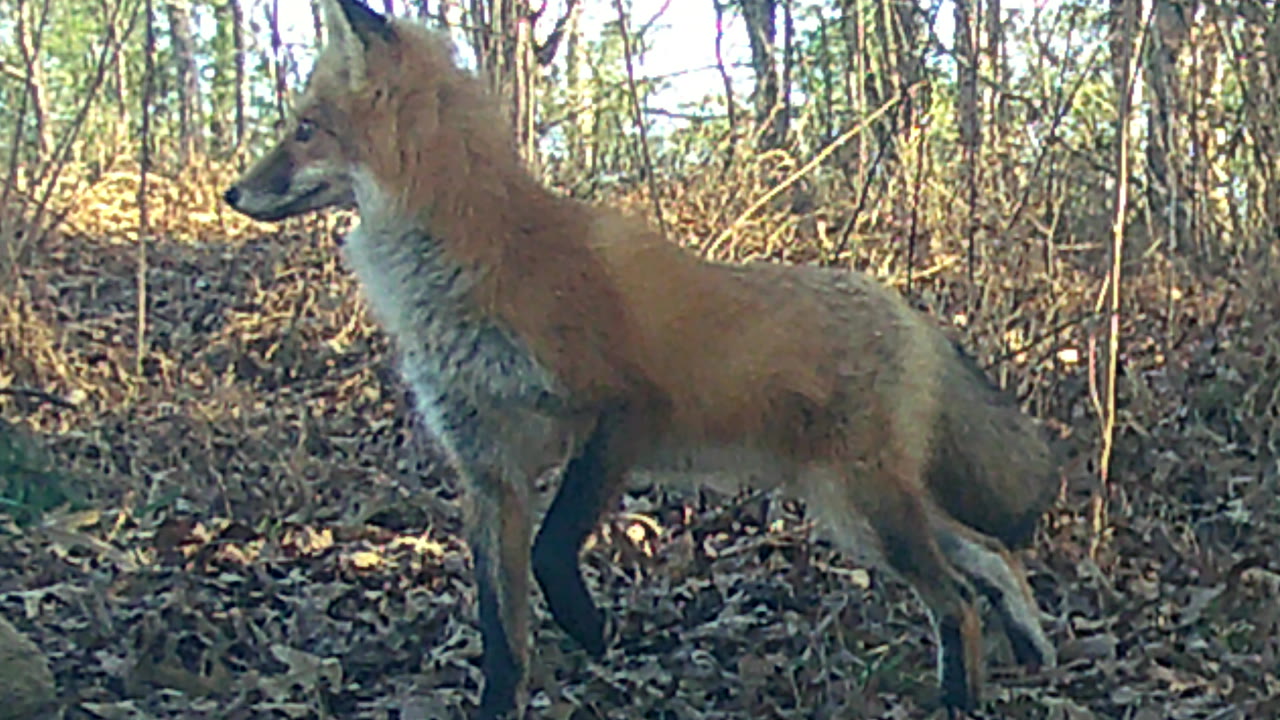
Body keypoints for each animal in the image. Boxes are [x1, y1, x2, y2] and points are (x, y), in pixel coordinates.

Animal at [223, 0, 1059, 716]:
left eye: (305, 129)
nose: (233, 192)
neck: (472, 259)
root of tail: (906, 308)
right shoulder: (488, 470)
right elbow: (500, 632)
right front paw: (504, 697)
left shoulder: (623, 409)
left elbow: (554, 547)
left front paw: (588, 628)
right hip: (851, 508)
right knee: (988, 554)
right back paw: (1033, 646)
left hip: (864, 506)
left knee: (957, 598)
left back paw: (965, 696)